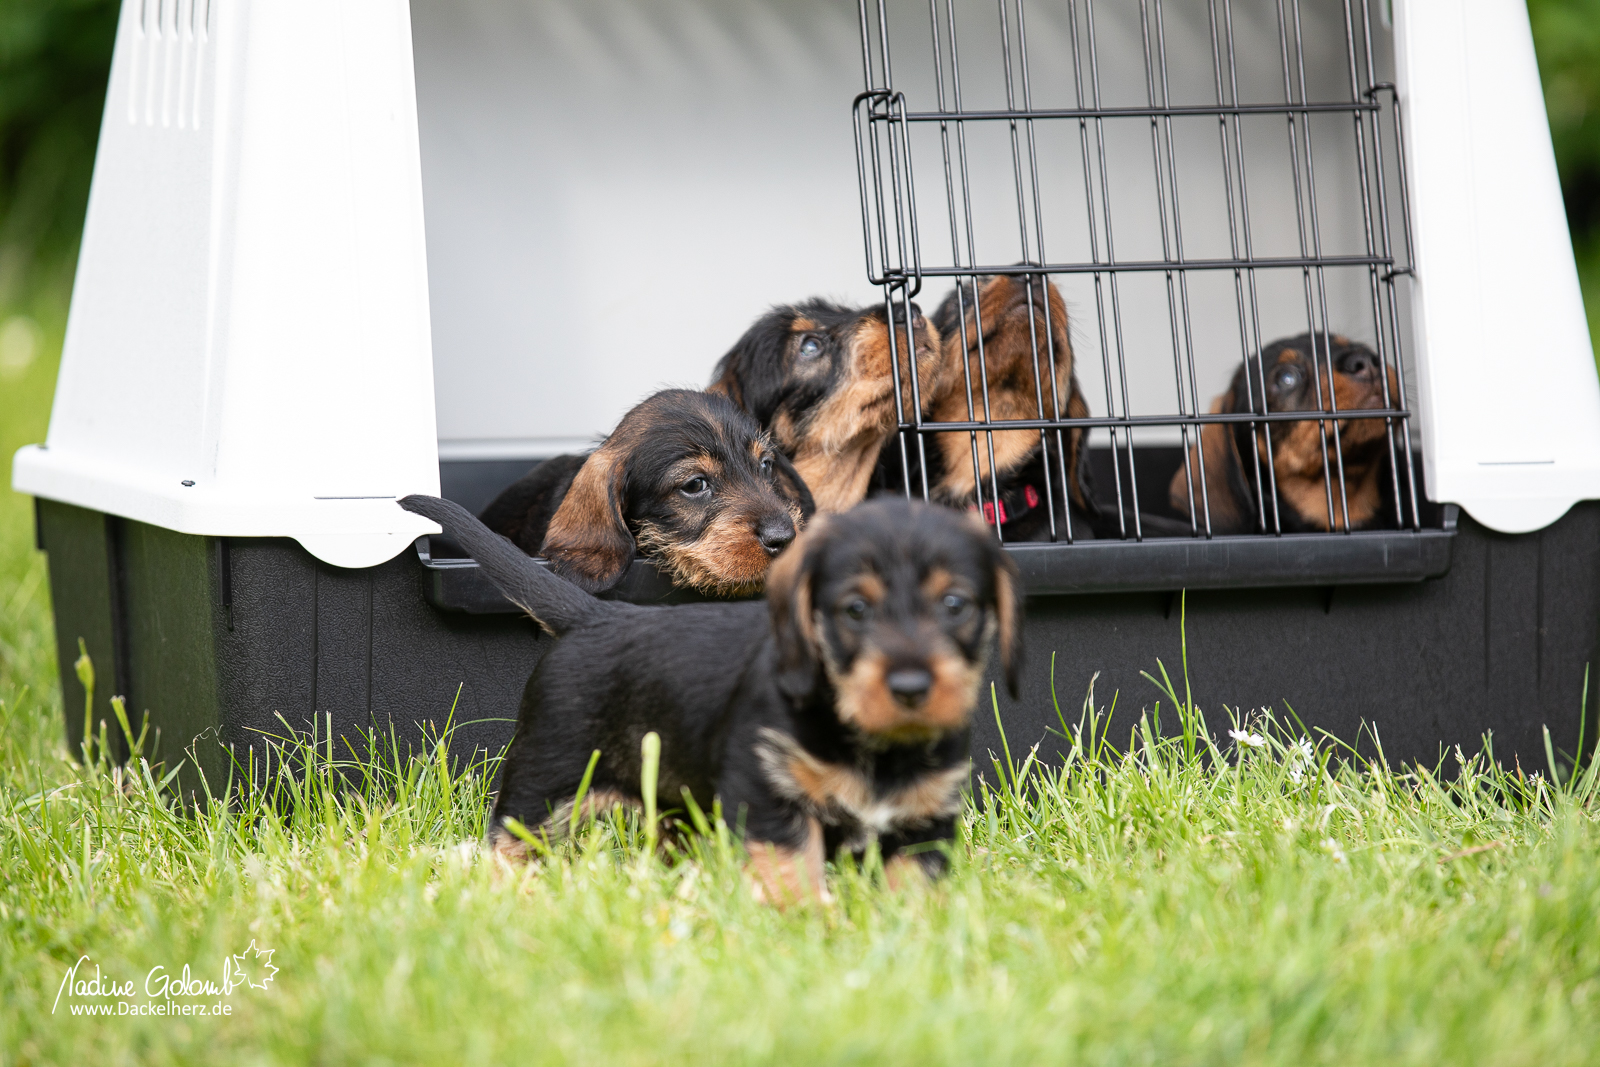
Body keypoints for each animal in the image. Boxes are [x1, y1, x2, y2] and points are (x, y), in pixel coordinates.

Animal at [395, 495, 1017, 908]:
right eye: (854, 610)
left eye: (956, 604)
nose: (911, 687)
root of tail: (598, 614)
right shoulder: (770, 797)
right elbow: (794, 873)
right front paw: (813, 926)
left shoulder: (925, 817)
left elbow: (912, 888)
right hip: (544, 783)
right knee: (509, 846)